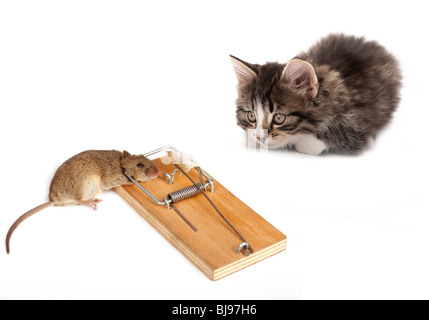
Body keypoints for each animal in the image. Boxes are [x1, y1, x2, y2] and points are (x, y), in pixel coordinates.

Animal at [231, 34, 402, 155]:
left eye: (279, 118)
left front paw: (303, 143)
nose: (260, 137)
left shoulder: (357, 124)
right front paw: (251, 138)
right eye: (251, 116)